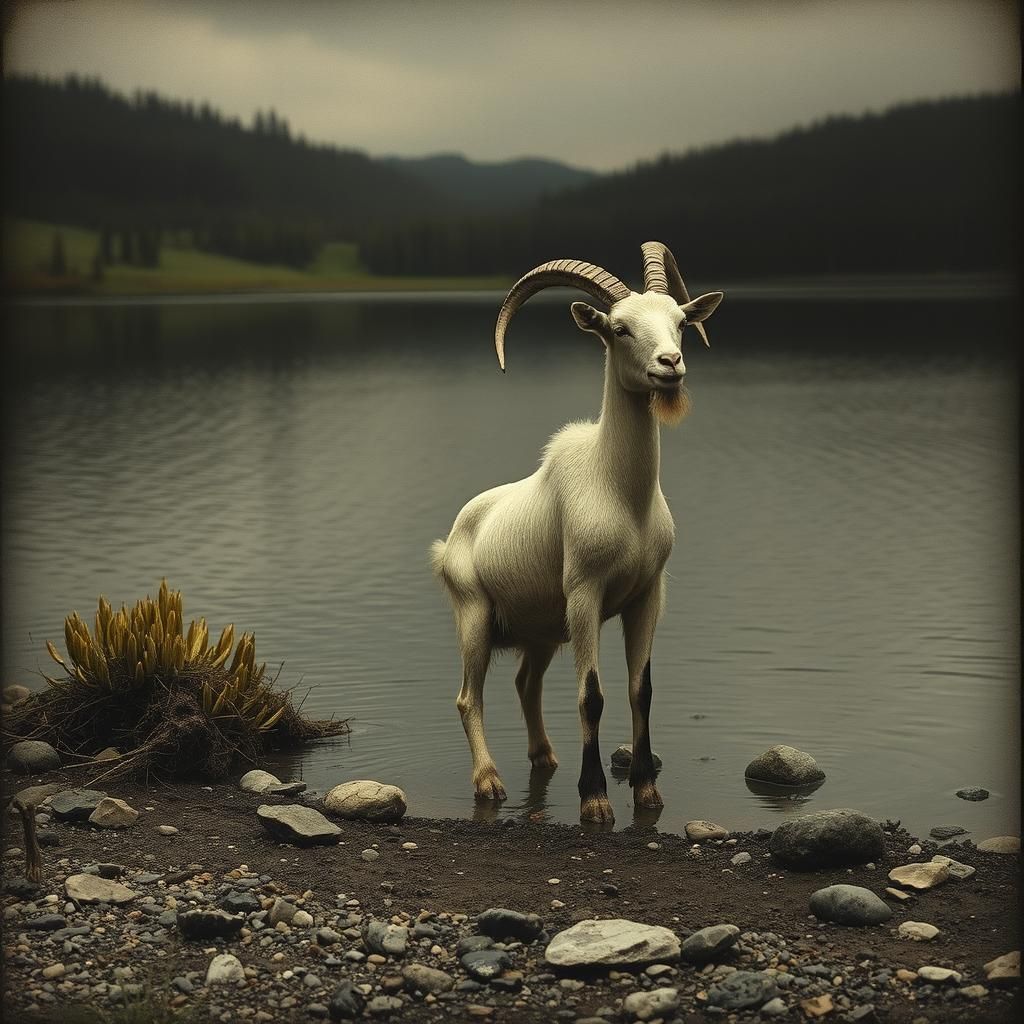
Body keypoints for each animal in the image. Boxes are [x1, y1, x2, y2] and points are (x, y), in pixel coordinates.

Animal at [430, 242, 723, 823]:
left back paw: (543, 758)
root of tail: (450, 540)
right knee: (468, 696)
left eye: (680, 323)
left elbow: (641, 689)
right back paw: (489, 781)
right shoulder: (585, 593)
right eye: (619, 329)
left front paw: (647, 792)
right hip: (474, 614)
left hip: (541, 628)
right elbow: (592, 695)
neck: (621, 493)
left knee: (526, 683)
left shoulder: (647, 595)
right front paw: (595, 801)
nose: (670, 365)